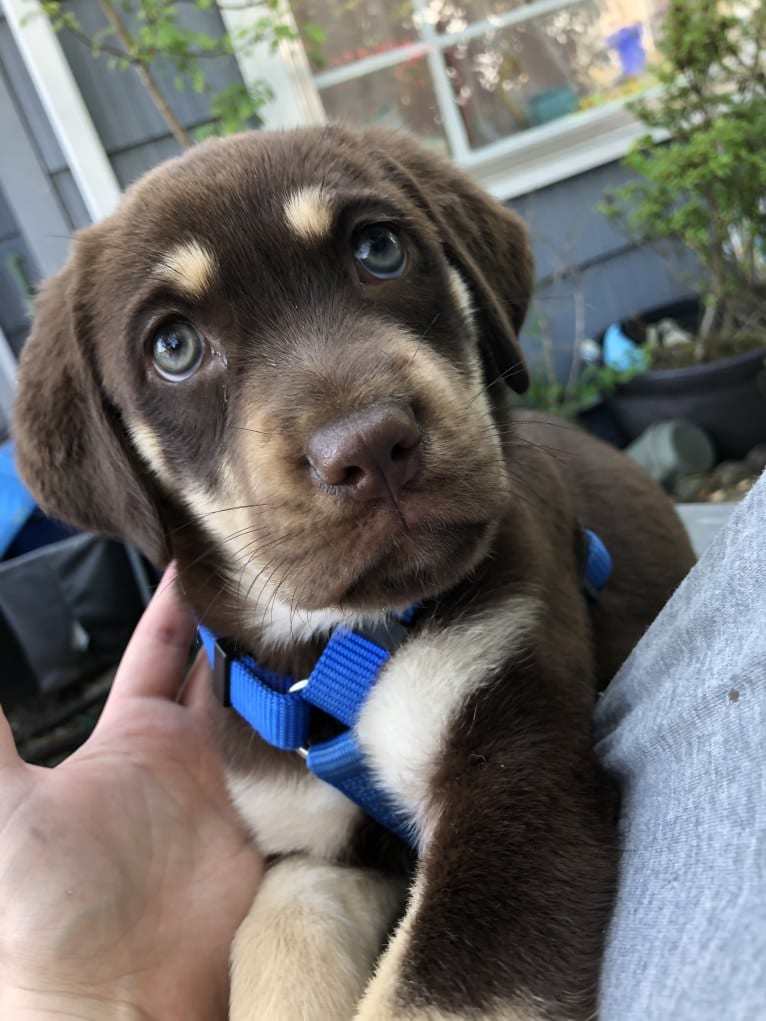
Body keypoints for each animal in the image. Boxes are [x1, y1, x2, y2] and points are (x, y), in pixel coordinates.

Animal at [12, 127, 694, 1021]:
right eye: (174, 348)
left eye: (380, 250)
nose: (371, 447)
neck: (332, 649)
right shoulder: (314, 847)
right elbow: (275, 939)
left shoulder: (516, 786)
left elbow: (421, 994)